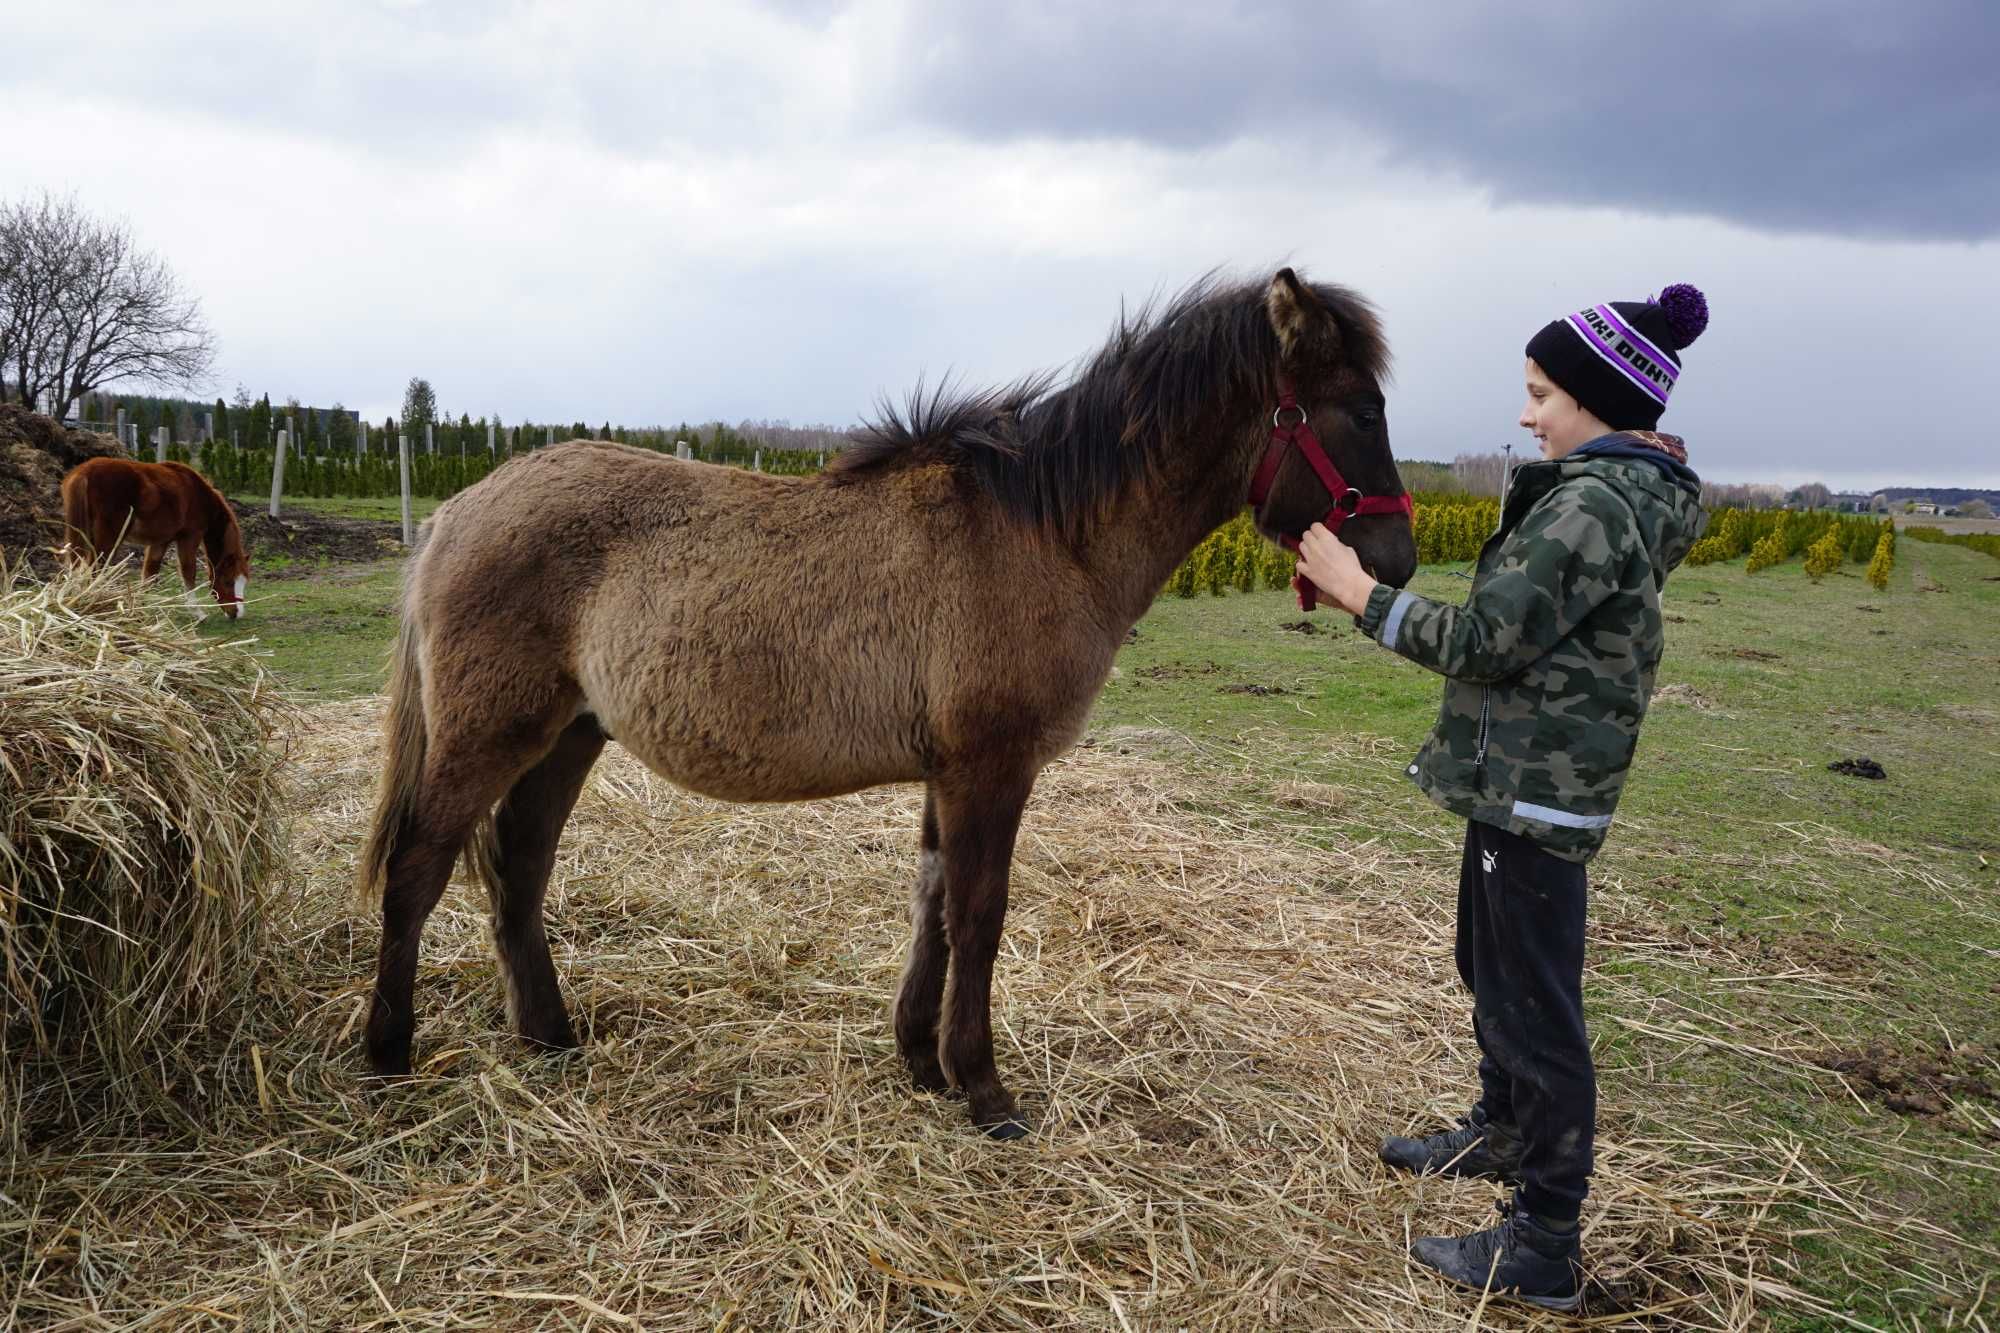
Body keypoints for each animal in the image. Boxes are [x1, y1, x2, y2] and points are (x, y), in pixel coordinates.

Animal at [62, 456, 250, 616]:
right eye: (228, 581)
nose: (237, 614)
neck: (199, 495)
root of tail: (86, 471)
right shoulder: (189, 538)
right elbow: (189, 571)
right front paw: (196, 612)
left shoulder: (161, 542)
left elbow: (150, 573)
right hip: (107, 539)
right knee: (96, 570)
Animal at [360, 268, 1424, 1128]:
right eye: (1361, 411)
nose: (1396, 561)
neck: (1042, 530)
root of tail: (457, 511)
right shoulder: (991, 768)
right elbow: (980, 913)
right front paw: (985, 1090)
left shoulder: (948, 772)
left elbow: (934, 902)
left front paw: (920, 1057)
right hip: (490, 733)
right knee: (418, 869)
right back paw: (386, 1055)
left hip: (569, 735)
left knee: (520, 865)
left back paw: (548, 1034)